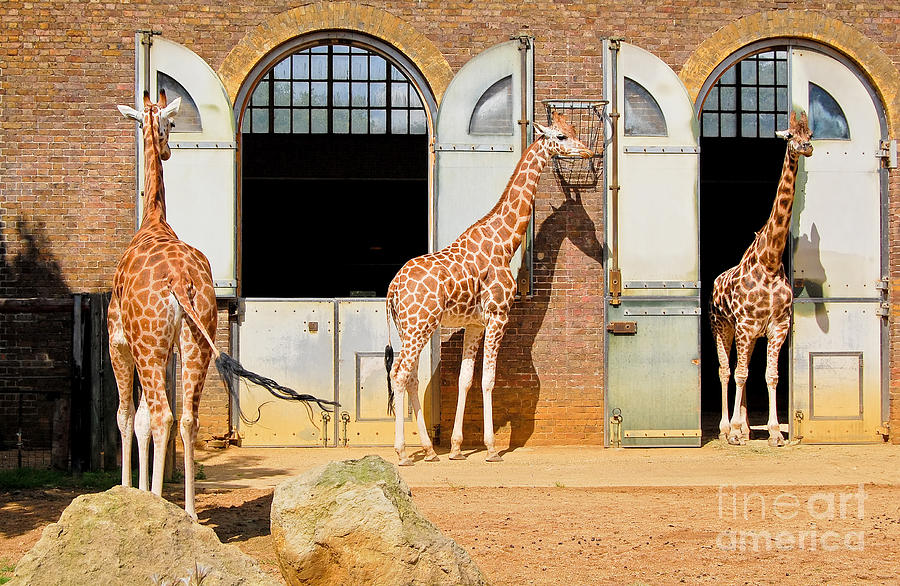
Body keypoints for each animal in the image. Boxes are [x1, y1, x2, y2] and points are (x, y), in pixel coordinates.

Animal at [113, 91, 338, 516]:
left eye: (171, 123)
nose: (167, 150)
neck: (152, 220)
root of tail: (178, 281)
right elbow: (140, 417)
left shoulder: (119, 341)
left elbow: (128, 417)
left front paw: (129, 493)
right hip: (195, 341)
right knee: (188, 418)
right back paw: (187, 511)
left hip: (151, 345)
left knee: (162, 414)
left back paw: (161, 504)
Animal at [384, 112, 596, 464]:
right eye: (561, 136)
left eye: (575, 130)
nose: (589, 152)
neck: (504, 242)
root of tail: (392, 289)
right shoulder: (498, 316)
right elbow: (488, 380)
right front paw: (492, 447)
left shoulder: (475, 324)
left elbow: (465, 380)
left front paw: (457, 447)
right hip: (419, 325)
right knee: (399, 374)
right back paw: (401, 452)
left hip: (410, 328)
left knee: (410, 376)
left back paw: (429, 450)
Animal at [712, 109, 816, 444]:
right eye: (790, 135)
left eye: (810, 133)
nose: (807, 148)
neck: (769, 262)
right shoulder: (744, 326)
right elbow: (739, 373)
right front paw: (733, 431)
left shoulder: (777, 327)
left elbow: (771, 375)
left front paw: (773, 432)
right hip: (722, 327)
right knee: (726, 370)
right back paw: (726, 429)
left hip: (752, 336)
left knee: (743, 371)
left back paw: (745, 428)